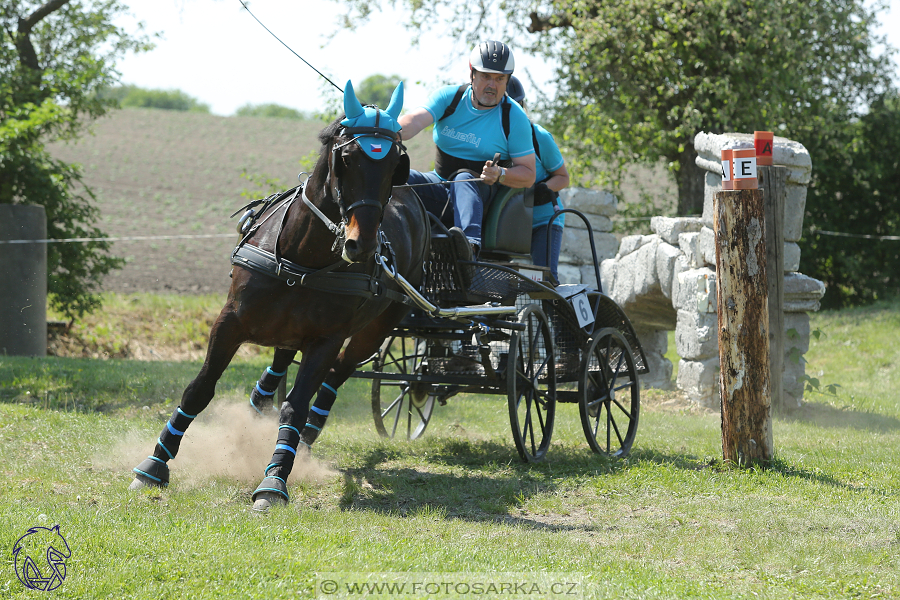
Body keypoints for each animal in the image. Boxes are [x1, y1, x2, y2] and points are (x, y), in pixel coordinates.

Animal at [127, 81, 432, 510]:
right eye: (348, 158)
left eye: (394, 165)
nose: (364, 246)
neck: (302, 255)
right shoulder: (231, 319)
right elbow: (200, 388)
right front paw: (154, 464)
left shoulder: (326, 339)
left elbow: (296, 407)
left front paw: (274, 479)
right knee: (279, 363)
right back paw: (258, 404)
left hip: (375, 329)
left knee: (337, 374)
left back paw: (304, 439)